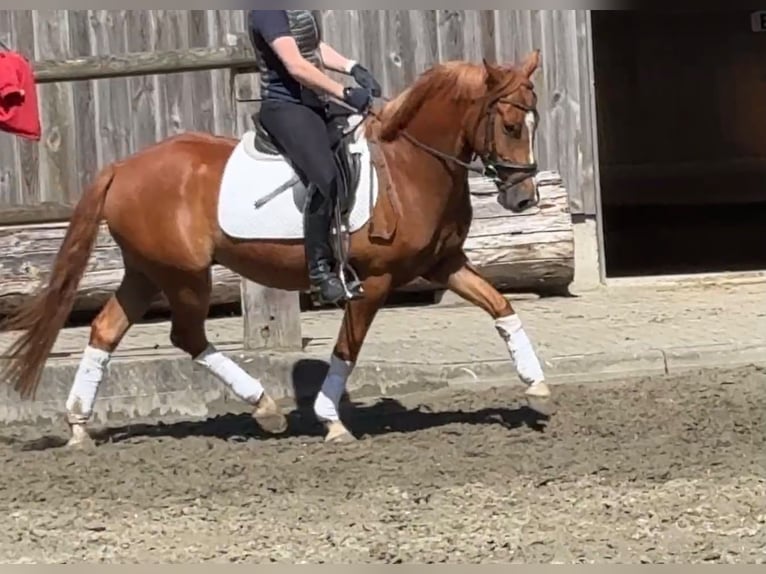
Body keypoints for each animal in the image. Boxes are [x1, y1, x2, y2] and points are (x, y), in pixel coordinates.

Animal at [0, 50, 551, 446]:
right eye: (508, 124)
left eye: (535, 121)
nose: (524, 197)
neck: (411, 164)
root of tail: (122, 167)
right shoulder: (373, 281)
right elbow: (347, 349)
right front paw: (331, 421)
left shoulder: (444, 263)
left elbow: (501, 306)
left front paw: (537, 388)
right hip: (184, 275)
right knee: (186, 335)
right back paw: (264, 407)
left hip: (146, 272)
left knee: (106, 329)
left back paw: (78, 426)